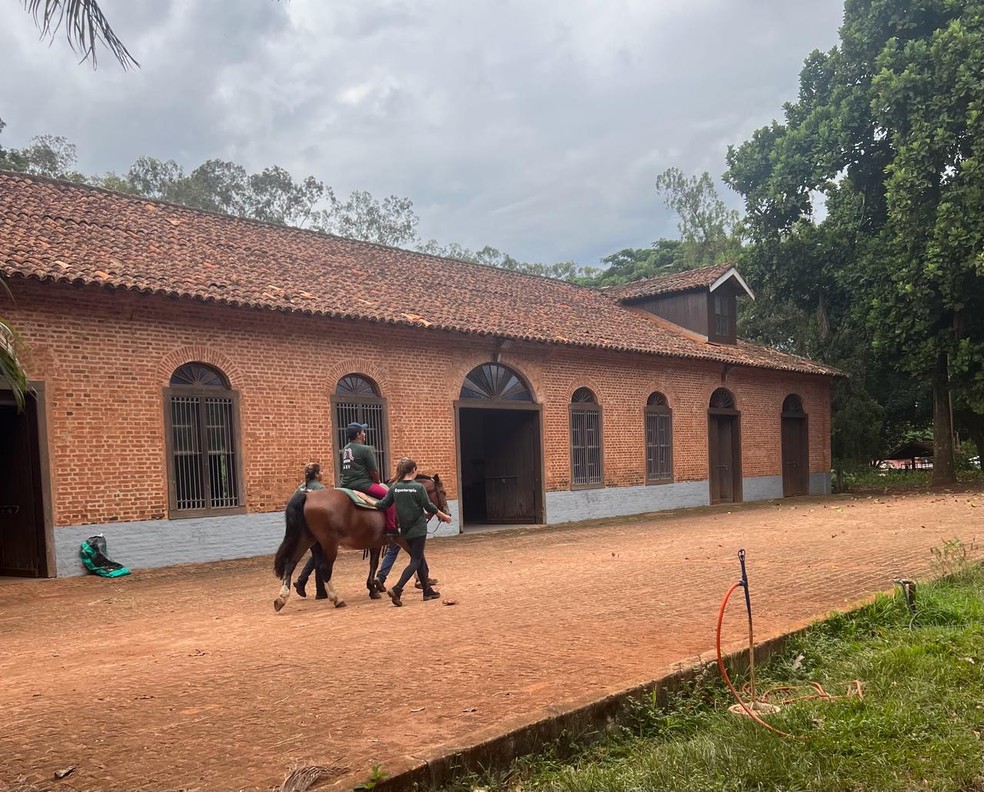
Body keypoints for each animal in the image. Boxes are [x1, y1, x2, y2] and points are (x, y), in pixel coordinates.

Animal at [272, 476, 450, 612]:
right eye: (443, 492)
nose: (447, 514)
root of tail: (308, 496)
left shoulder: (377, 543)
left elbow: (374, 563)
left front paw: (373, 588)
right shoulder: (401, 539)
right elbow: (418, 559)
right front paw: (424, 585)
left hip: (307, 538)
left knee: (291, 563)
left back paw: (282, 598)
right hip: (329, 543)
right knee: (324, 568)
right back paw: (336, 598)